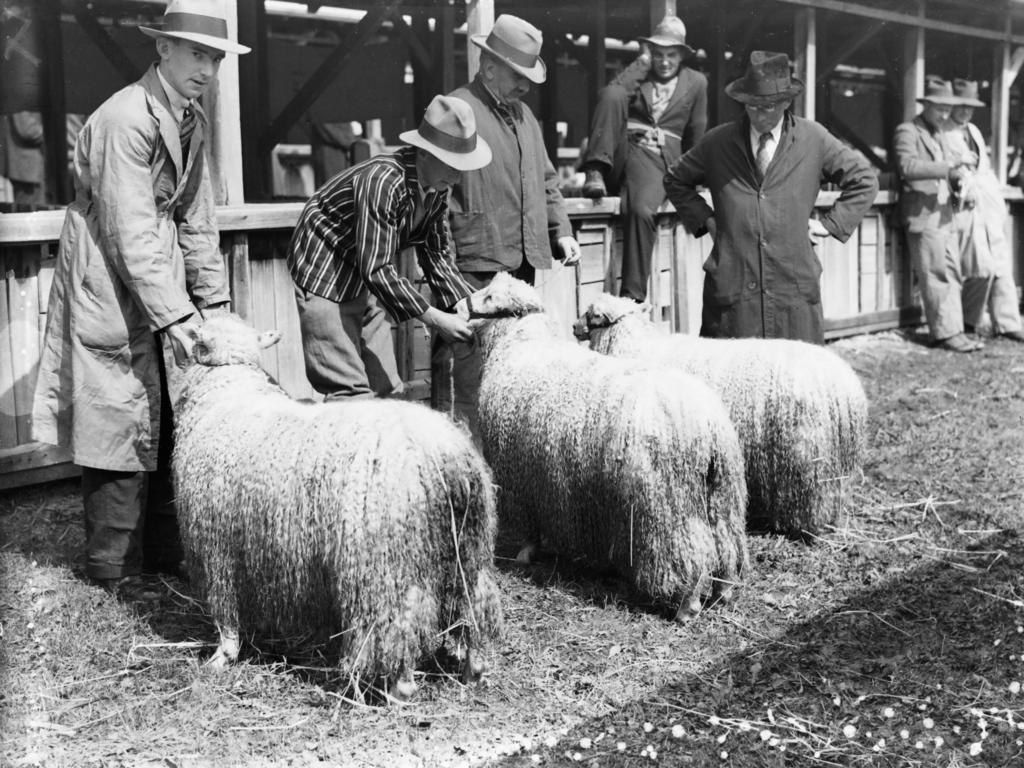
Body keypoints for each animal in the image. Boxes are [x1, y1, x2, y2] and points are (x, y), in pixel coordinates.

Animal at [174, 313, 501, 704]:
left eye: (198, 342)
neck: (228, 387)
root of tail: (446, 456)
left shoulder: (217, 549)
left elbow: (226, 616)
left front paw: (222, 657)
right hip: (467, 547)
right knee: (475, 604)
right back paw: (474, 670)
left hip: (384, 565)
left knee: (399, 622)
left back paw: (398, 688)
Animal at [468, 274, 749, 622]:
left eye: (490, 297)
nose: (459, 305)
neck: (521, 344)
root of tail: (709, 425)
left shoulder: (522, 479)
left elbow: (531, 529)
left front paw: (526, 553)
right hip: (722, 495)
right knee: (727, 543)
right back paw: (725, 591)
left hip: (667, 507)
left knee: (688, 553)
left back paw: (687, 605)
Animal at [573, 294, 868, 540]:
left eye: (593, 315)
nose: (574, 327)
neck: (636, 344)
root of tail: (846, 387)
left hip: (806, 453)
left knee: (811, 495)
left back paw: (803, 528)